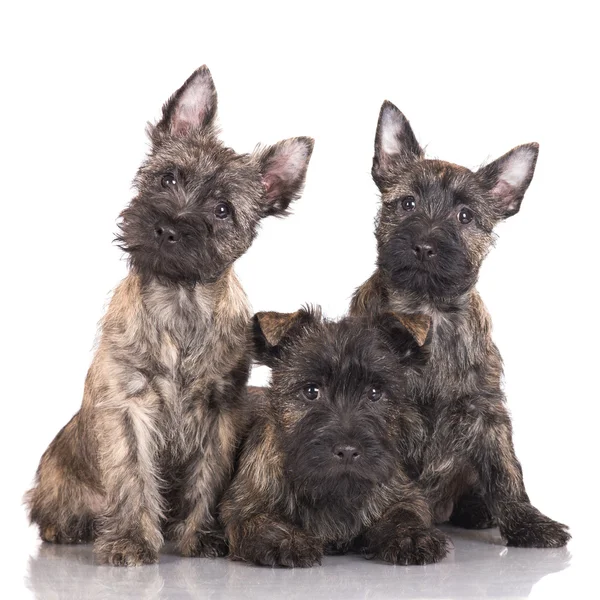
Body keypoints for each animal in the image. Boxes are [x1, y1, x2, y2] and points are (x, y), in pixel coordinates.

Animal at [23, 67, 314, 568]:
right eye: (167, 178)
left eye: (222, 210)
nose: (169, 227)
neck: (180, 303)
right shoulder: (129, 407)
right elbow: (133, 476)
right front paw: (131, 540)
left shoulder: (219, 413)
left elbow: (207, 477)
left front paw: (201, 538)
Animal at [218, 310, 448, 568]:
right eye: (311, 391)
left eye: (375, 393)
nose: (347, 451)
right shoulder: (242, 507)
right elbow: (260, 520)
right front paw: (288, 540)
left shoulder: (404, 494)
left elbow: (405, 513)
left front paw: (412, 536)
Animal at [352, 102, 572, 548]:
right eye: (407, 203)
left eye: (465, 215)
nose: (424, 246)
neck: (428, 314)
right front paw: (403, 530)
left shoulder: (487, 412)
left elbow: (506, 471)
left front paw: (528, 521)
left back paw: (478, 509)